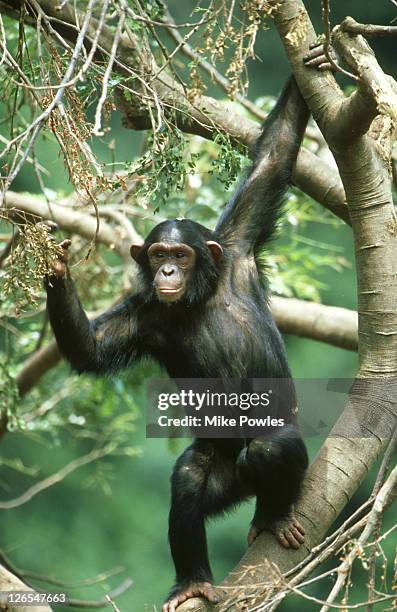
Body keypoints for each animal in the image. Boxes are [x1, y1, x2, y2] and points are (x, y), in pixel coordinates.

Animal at [45, 76, 310, 612]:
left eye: (181, 254)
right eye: (158, 254)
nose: (167, 269)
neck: (198, 297)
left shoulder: (238, 244)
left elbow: (273, 158)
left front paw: (317, 58)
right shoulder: (145, 315)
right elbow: (92, 347)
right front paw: (57, 270)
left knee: (270, 449)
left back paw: (272, 515)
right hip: (222, 473)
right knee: (189, 480)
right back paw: (192, 580)